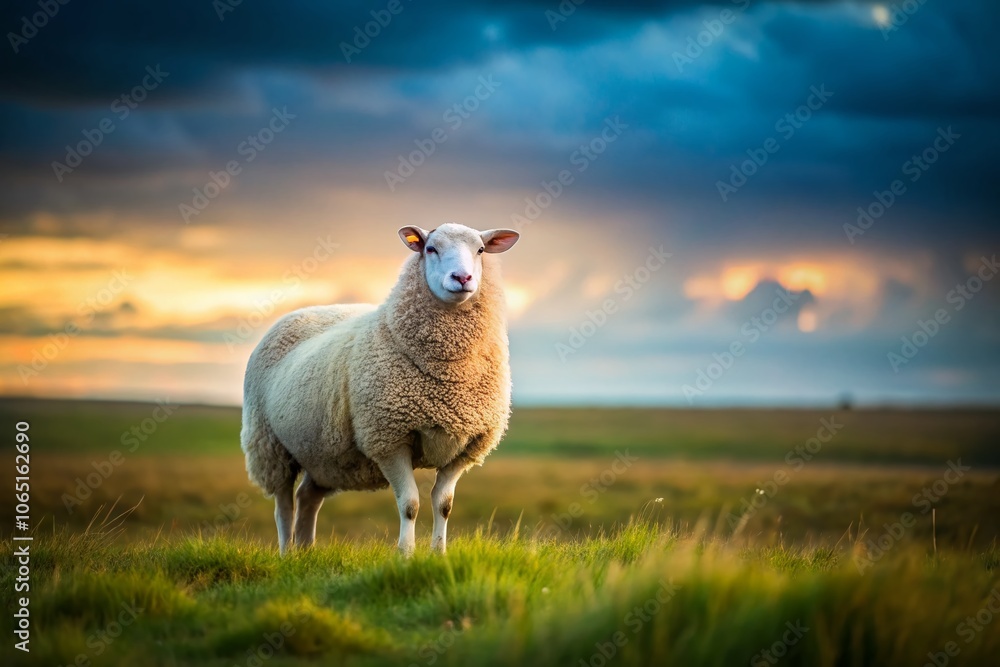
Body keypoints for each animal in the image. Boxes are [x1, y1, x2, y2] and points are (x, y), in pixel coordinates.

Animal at [240, 223, 520, 555]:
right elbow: (410, 504)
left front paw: (439, 554)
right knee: (283, 504)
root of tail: (298, 313)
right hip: (269, 445)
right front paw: (406, 554)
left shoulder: (464, 447)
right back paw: (287, 553)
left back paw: (307, 552)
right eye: (431, 249)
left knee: (306, 497)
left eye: (480, 250)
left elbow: (444, 505)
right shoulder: (389, 439)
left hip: (324, 457)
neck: (448, 378)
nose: (462, 278)